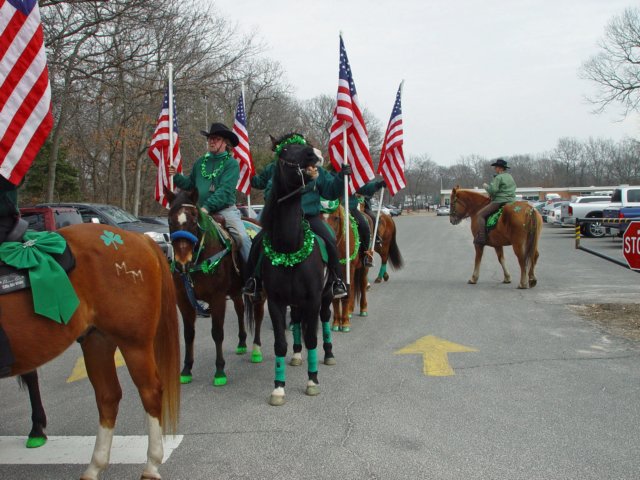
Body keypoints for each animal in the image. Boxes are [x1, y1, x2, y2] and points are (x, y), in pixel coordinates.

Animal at [1, 225, 180, 480]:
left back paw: (151, 465)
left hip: (133, 343)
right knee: (108, 396)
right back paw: (95, 466)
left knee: (150, 391)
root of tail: (139, 237)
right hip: (97, 339)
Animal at [166, 188, 266, 386]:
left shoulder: (217, 298)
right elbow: (188, 334)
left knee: (258, 316)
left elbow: (217, 333)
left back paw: (256, 350)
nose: (182, 263)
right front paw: (186, 369)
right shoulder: (183, 300)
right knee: (240, 310)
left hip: (259, 292)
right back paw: (242, 343)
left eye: (194, 219)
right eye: (170, 220)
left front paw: (220, 371)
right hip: (235, 291)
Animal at [328, 204, 368, 332]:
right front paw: (336, 323)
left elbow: (347, 294)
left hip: (363, 268)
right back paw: (350, 310)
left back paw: (363, 310)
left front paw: (345, 323)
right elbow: (335, 297)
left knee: (362, 285)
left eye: (336, 218)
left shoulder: (349, 268)